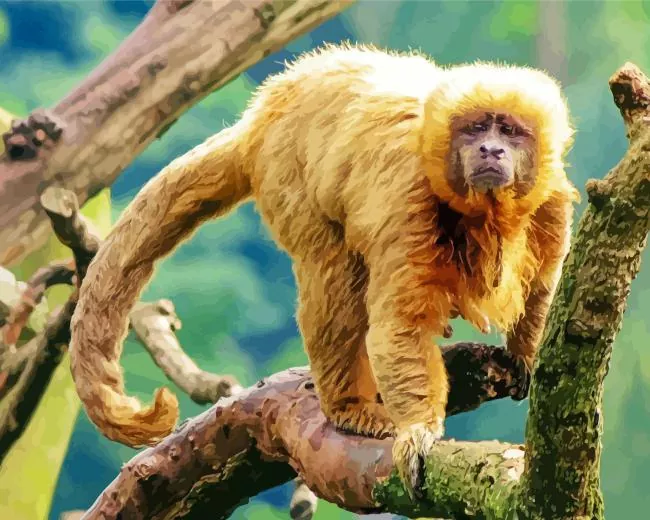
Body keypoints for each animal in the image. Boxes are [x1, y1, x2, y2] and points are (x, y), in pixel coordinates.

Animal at [69, 43, 579, 497]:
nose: (491, 150)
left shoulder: (551, 200)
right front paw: (418, 432)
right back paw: (347, 406)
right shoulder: (410, 196)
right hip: (284, 173)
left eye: (509, 131)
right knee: (335, 276)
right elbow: (400, 325)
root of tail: (265, 111)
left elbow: (542, 290)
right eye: (475, 129)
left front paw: (527, 356)